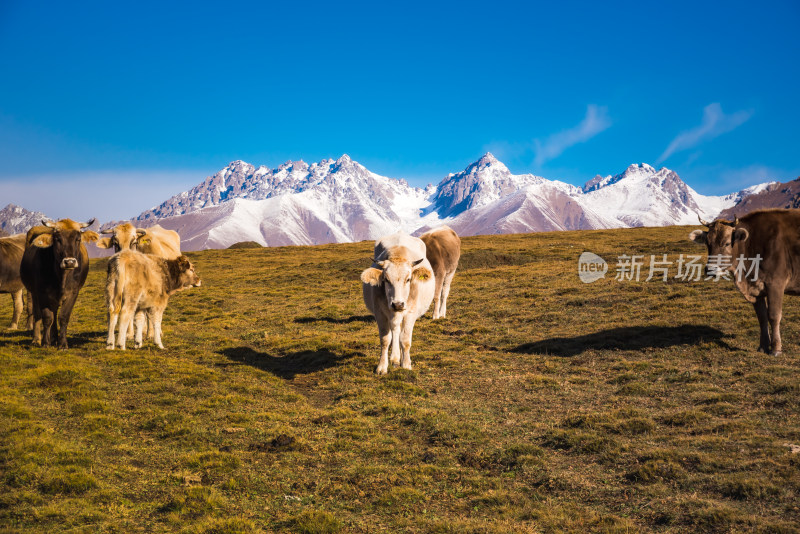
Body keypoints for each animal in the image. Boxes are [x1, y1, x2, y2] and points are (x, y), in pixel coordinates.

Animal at [21, 220, 98, 350]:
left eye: (78, 239)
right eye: (57, 239)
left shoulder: (73, 293)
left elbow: (63, 317)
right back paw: (37, 339)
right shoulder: (42, 292)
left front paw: (62, 344)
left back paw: (54, 338)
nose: (70, 262)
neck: (62, 277)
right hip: (33, 292)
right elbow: (47, 317)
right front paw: (45, 343)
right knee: (37, 313)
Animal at [360, 231, 434, 376]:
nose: (398, 304)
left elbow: (405, 340)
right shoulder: (380, 313)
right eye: (386, 279)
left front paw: (406, 364)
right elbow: (385, 340)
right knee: (395, 330)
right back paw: (395, 358)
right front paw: (382, 367)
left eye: (409, 279)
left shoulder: (410, 313)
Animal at [688, 209, 800, 356]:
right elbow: (762, 317)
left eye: (727, 243)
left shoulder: (776, 283)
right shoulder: (756, 289)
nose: (710, 269)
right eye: (707, 243)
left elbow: (774, 315)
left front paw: (776, 349)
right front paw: (763, 346)